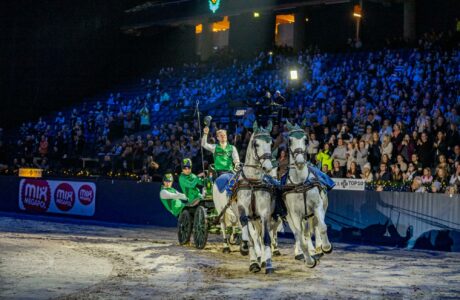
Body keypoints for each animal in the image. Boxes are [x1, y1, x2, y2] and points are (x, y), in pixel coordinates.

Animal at [282, 121, 332, 268]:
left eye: (305, 140)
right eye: (289, 140)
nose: (299, 161)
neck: (301, 183)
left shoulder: (317, 206)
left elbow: (322, 227)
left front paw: (325, 247)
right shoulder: (295, 214)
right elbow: (301, 237)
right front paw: (309, 260)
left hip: (317, 210)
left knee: (315, 227)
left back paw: (318, 248)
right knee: (303, 233)